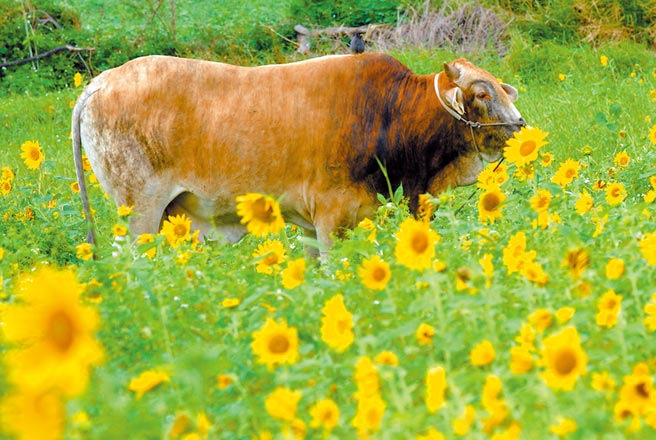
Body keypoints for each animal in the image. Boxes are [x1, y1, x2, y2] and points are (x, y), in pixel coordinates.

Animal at [73, 53, 524, 256]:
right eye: (483, 94)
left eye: (504, 90)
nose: (521, 128)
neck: (389, 112)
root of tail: (100, 82)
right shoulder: (333, 219)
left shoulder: (312, 225)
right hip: (139, 213)